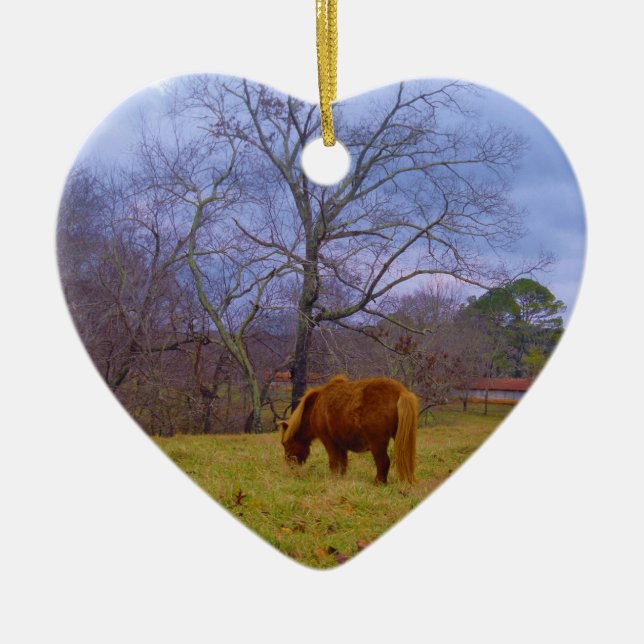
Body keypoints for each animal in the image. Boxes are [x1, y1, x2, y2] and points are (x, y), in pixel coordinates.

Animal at [277, 375, 418, 484]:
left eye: (285, 444)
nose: (290, 466)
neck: (315, 407)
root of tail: (401, 392)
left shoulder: (328, 441)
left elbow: (334, 462)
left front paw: (333, 479)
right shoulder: (341, 444)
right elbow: (343, 463)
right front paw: (341, 478)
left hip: (377, 442)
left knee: (383, 462)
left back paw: (378, 483)